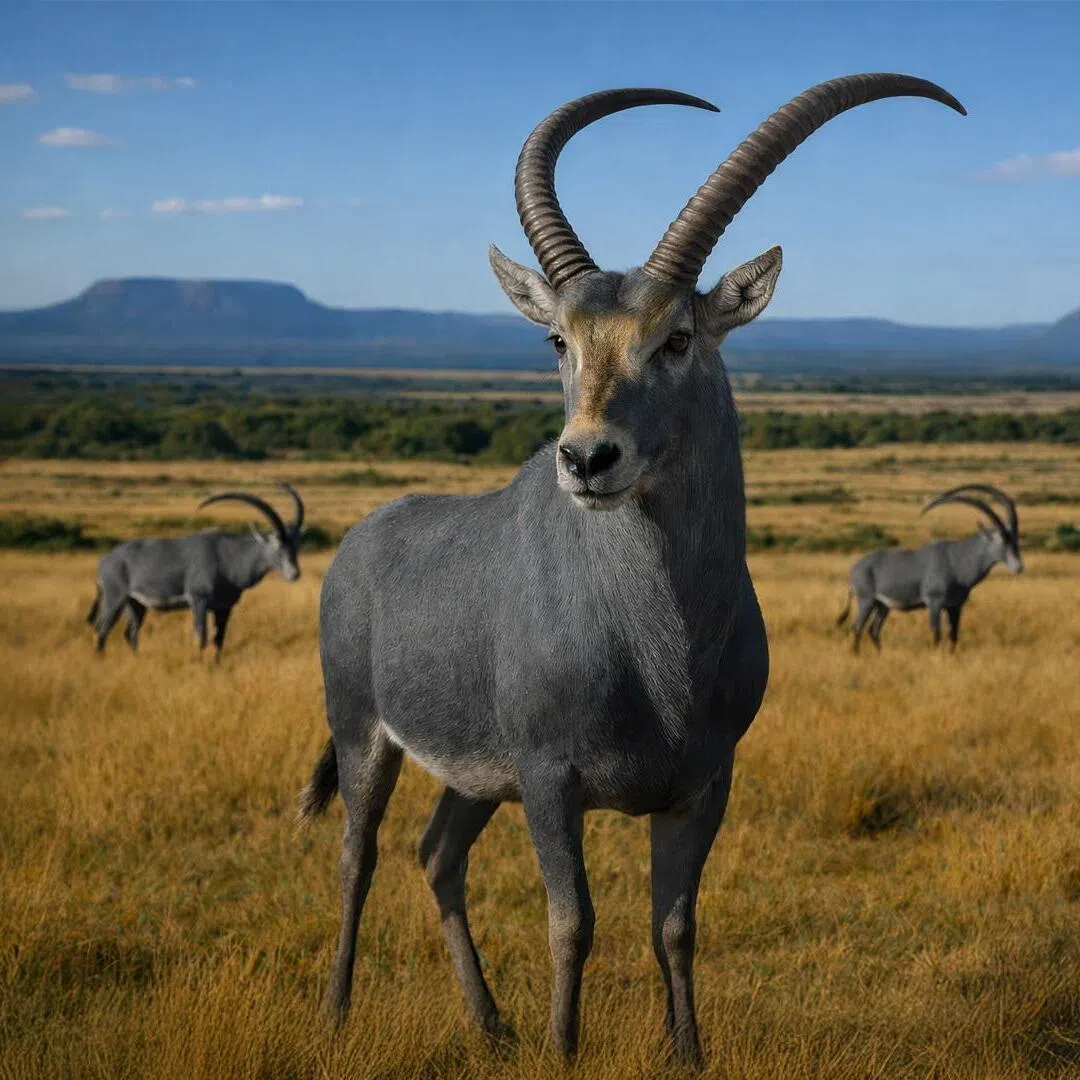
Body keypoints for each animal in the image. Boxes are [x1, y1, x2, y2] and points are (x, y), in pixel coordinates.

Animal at [87, 483, 304, 658]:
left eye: (294, 546)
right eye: (277, 545)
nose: (294, 574)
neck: (229, 557)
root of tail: (104, 560)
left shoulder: (224, 608)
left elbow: (219, 639)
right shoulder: (199, 601)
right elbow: (202, 637)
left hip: (135, 604)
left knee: (129, 632)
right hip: (115, 599)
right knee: (102, 628)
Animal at [299, 74, 965, 1062]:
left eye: (678, 336)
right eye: (558, 341)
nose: (586, 459)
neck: (659, 645)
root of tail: (363, 540)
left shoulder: (703, 785)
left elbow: (675, 926)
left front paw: (687, 1053)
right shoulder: (551, 781)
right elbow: (572, 922)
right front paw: (563, 1052)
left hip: (474, 778)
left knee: (438, 855)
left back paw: (491, 1027)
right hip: (364, 735)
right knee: (359, 854)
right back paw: (340, 1013)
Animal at [838, 483, 1022, 652]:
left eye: (1015, 539)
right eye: (1003, 539)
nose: (1019, 567)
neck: (958, 559)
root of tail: (854, 568)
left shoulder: (955, 607)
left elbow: (954, 635)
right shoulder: (935, 603)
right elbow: (936, 634)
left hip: (882, 606)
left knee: (873, 630)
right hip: (866, 601)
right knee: (857, 627)